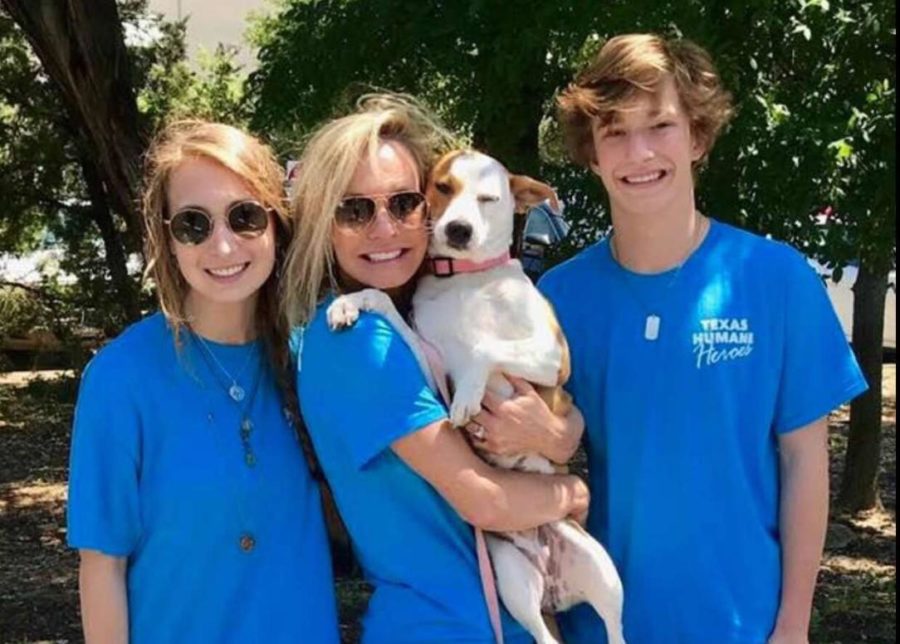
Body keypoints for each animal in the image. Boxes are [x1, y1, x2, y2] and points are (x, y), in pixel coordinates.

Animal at [328, 150, 624, 644]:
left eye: (488, 199)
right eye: (443, 187)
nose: (459, 230)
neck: (468, 280)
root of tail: (552, 581)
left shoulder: (553, 356)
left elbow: (484, 349)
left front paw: (470, 394)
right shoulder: (430, 362)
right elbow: (385, 305)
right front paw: (349, 302)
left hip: (602, 569)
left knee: (616, 628)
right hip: (512, 578)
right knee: (543, 636)